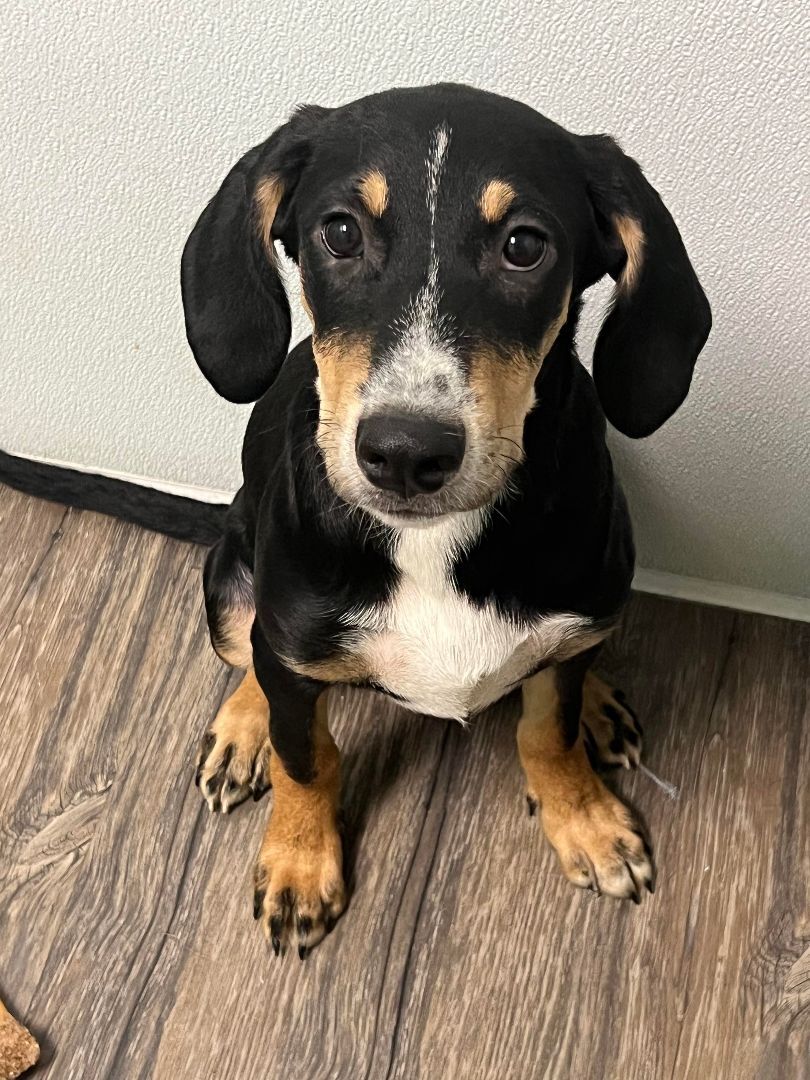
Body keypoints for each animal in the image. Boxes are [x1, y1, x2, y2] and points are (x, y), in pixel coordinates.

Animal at [179, 86, 708, 963]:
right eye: (340, 232)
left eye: (525, 246)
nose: (405, 452)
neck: (432, 544)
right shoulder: (290, 645)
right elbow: (306, 759)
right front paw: (298, 863)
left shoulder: (571, 627)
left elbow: (548, 732)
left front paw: (587, 821)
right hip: (227, 580)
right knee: (251, 656)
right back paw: (243, 731)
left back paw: (599, 702)